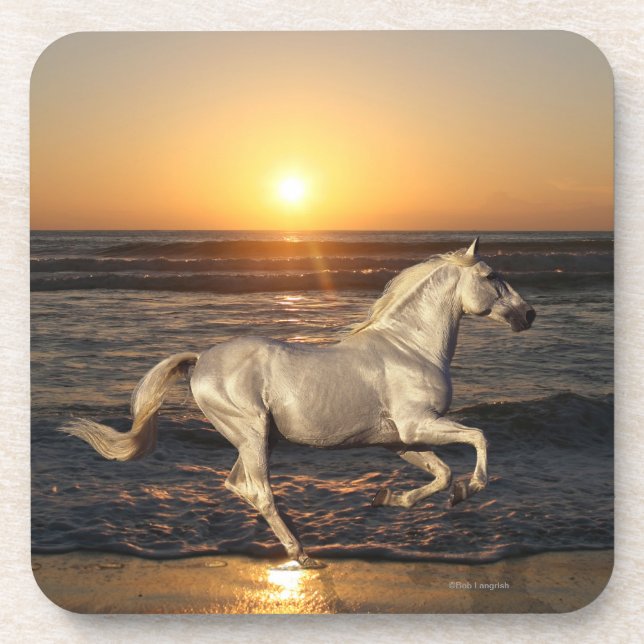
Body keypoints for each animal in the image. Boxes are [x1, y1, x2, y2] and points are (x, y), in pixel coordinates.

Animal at [62, 238, 535, 569]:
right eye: (491, 276)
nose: (528, 315)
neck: (409, 348)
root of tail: (201, 361)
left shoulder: (399, 440)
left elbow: (440, 474)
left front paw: (388, 498)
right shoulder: (418, 425)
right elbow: (478, 438)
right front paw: (468, 490)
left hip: (258, 439)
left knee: (239, 485)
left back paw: (299, 537)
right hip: (252, 434)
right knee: (259, 491)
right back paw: (302, 552)